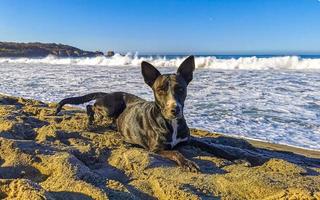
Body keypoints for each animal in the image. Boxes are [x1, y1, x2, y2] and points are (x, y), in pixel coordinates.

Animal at [55, 56, 240, 172]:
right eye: (160, 90)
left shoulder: (189, 139)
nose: (175, 109)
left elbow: (213, 147)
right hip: (109, 108)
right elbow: (176, 152)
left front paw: (236, 157)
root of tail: (107, 93)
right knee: (90, 107)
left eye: (181, 89)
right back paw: (90, 120)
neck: (171, 123)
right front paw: (188, 163)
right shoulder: (157, 148)